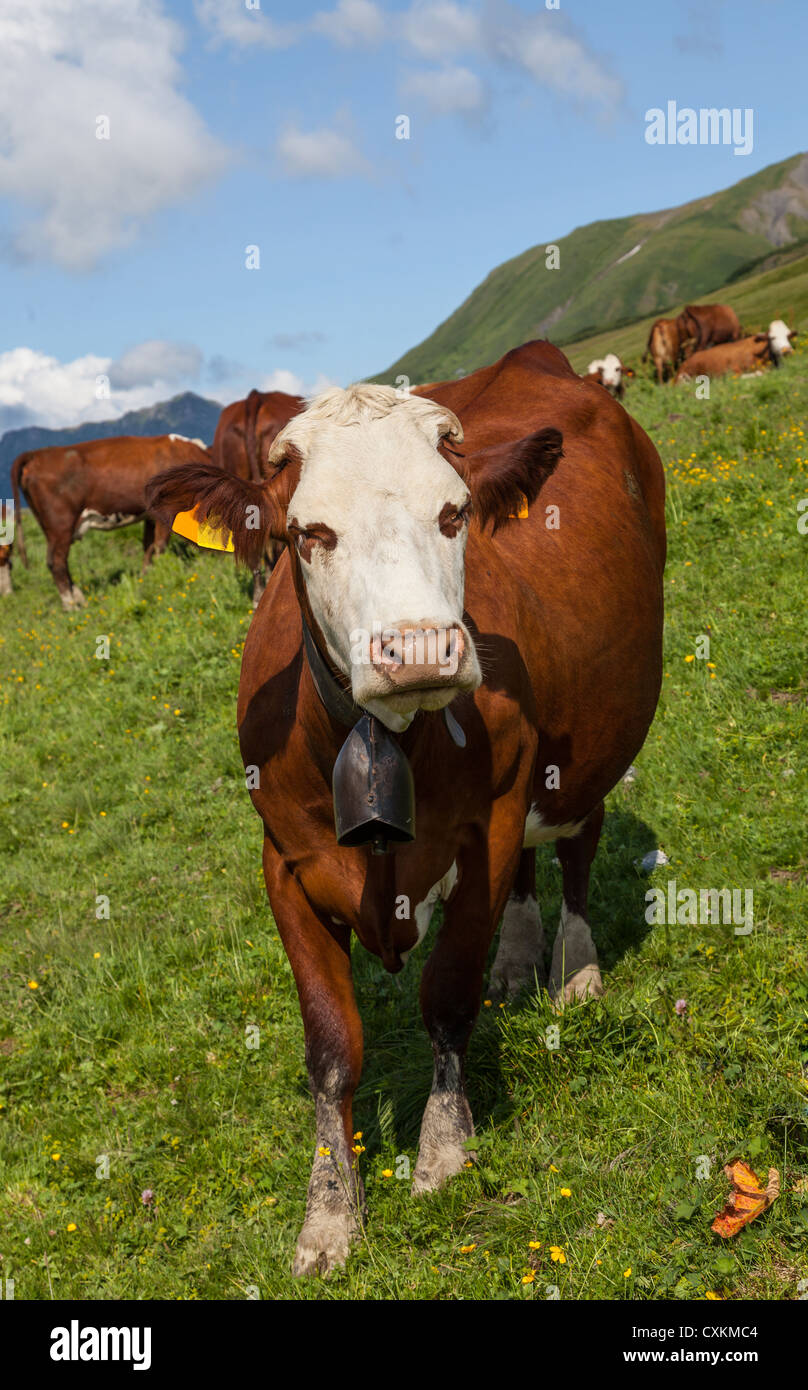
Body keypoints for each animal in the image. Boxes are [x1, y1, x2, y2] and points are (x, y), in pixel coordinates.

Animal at [11, 433, 209, 608]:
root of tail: (35, 454)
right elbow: (160, 546)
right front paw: (161, 573)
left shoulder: (150, 517)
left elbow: (148, 547)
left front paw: (146, 576)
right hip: (61, 525)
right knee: (57, 562)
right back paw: (72, 605)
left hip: (49, 527)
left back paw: (79, 599)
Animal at [148, 341, 664, 1273]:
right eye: (307, 534)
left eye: (454, 514)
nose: (418, 650)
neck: (383, 735)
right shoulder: (284, 864)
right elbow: (331, 1047)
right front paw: (328, 1214)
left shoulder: (485, 826)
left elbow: (447, 997)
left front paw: (443, 1151)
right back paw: (518, 956)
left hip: (586, 747)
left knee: (574, 843)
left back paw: (572, 970)